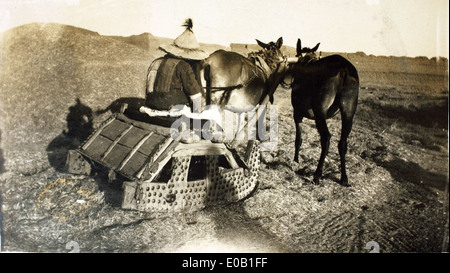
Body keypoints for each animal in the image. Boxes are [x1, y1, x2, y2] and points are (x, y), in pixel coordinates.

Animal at [290, 38, 360, 186]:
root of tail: (343, 69)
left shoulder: (297, 113)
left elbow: (298, 139)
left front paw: (296, 160)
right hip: (348, 113)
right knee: (342, 143)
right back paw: (344, 177)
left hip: (319, 112)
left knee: (326, 138)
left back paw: (317, 174)